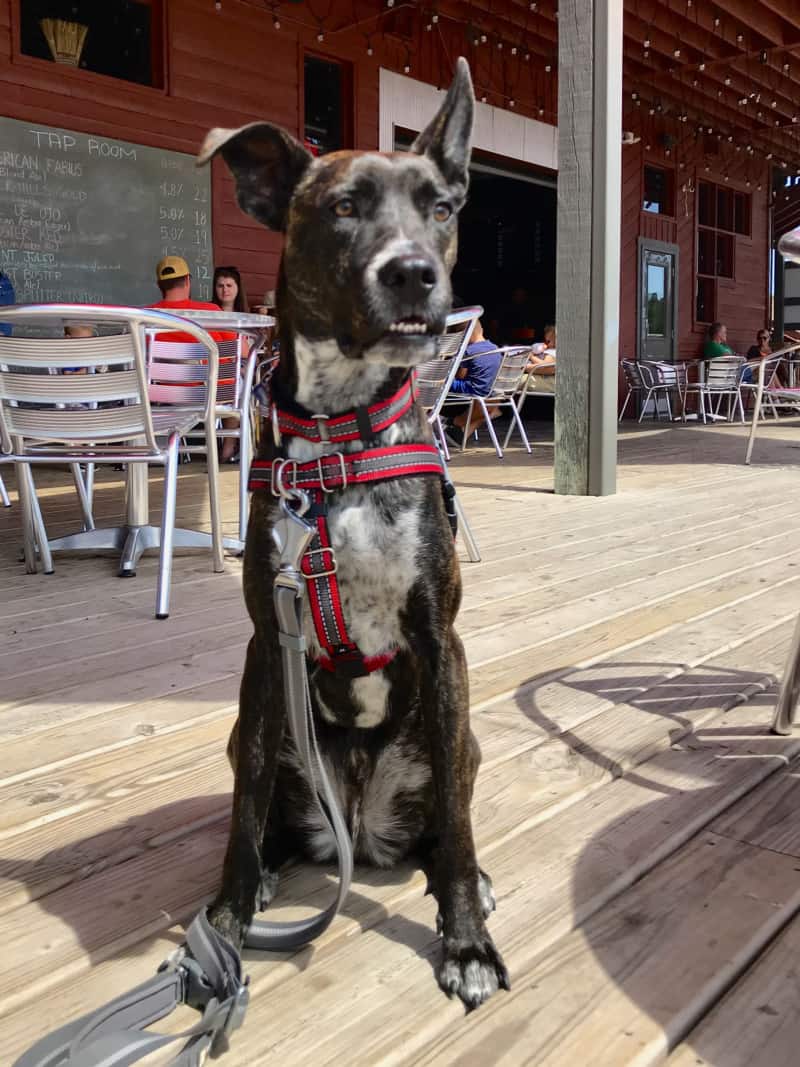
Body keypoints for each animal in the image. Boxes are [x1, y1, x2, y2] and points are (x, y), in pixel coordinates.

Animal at [203, 56, 509, 1007]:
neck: (341, 436)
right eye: (343, 206)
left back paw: (468, 880)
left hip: (461, 733)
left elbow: (458, 826)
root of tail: (362, 829)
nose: (413, 274)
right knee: (264, 805)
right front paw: (223, 925)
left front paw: (467, 941)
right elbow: (242, 812)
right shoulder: (265, 645)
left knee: (448, 823)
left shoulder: (440, 637)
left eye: (440, 208)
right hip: (253, 725)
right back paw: (269, 874)